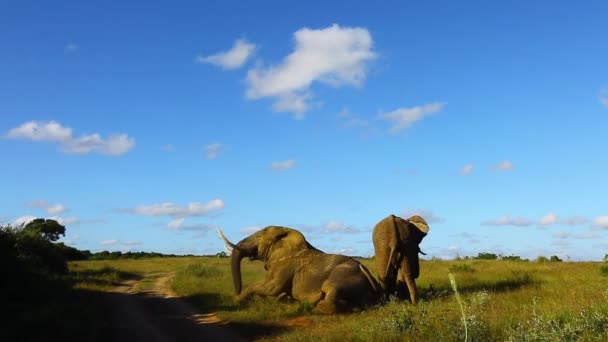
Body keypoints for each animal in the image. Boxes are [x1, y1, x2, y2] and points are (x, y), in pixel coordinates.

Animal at [218, 226, 380, 314]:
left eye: (258, 236)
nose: (235, 292)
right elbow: (269, 288)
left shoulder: (287, 266)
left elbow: (271, 288)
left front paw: (238, 300)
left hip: (346, 274)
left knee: (329, 287)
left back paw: (316, 308)